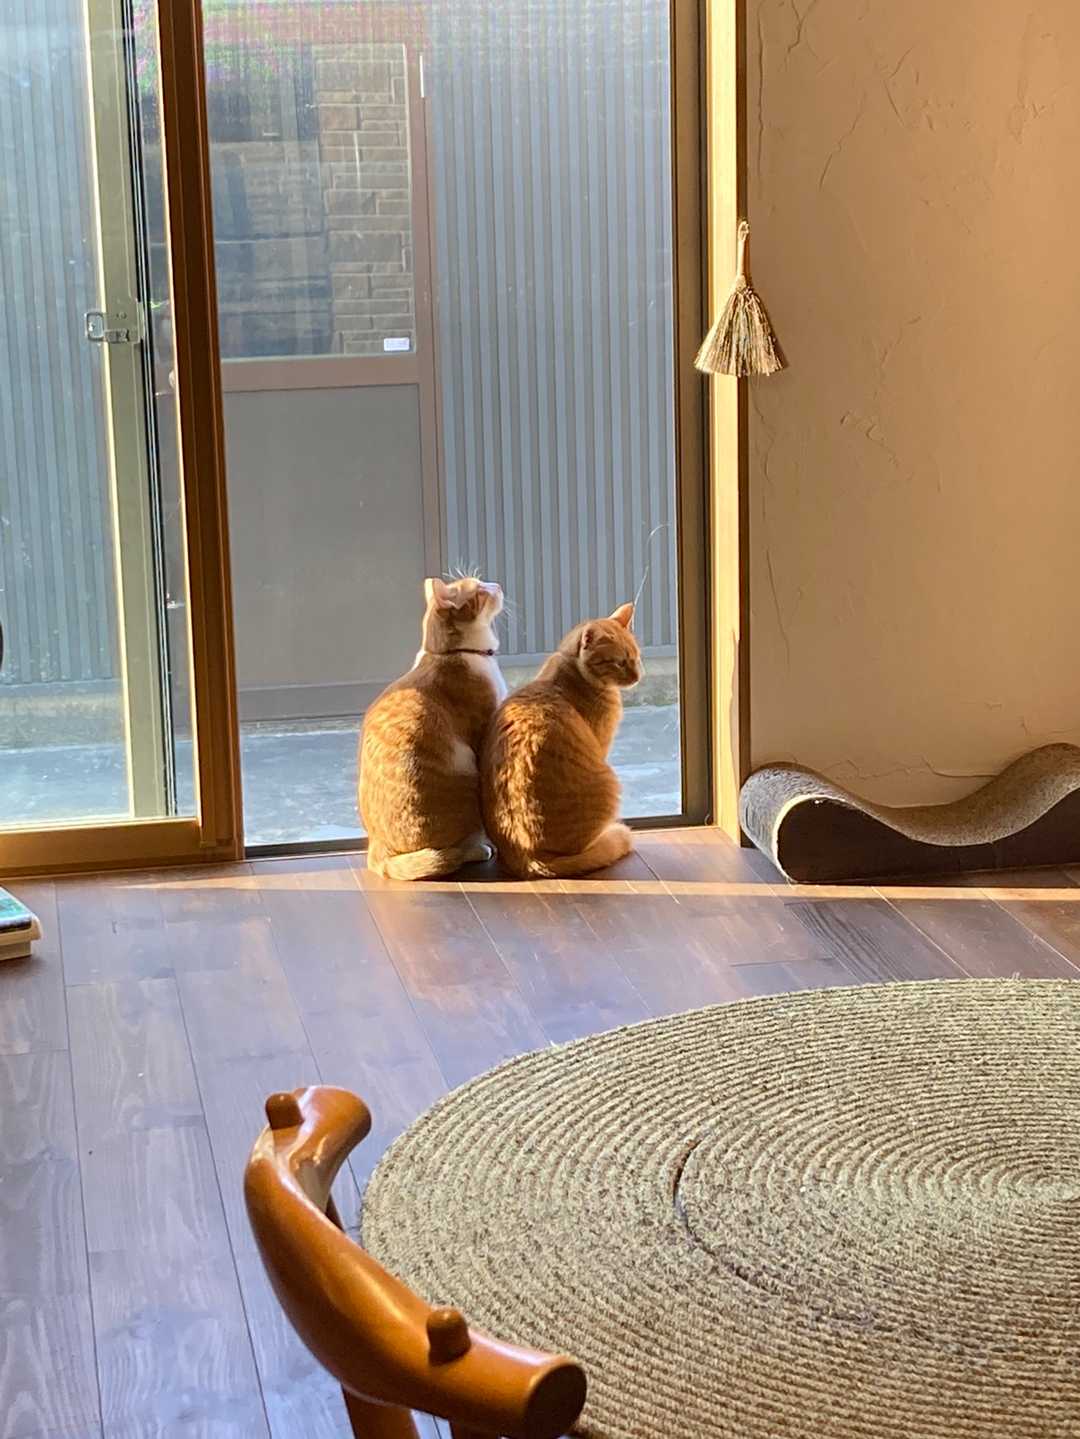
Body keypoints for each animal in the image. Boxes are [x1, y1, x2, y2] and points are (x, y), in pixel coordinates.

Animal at [359, 575, 506, 880]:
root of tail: (378, 851)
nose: (496, 585)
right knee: (449, 854)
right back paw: (478, 849)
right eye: (479, 590)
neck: (451, 653)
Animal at [481, 603, 642, 878]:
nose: (637, 675)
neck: (572, 671)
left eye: (635, 657)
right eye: (619, 662)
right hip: (609, 781)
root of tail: (529, 859)